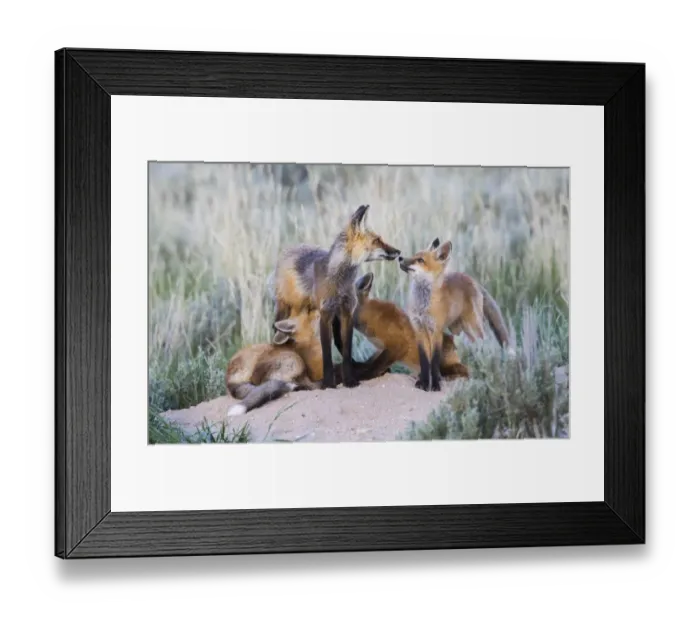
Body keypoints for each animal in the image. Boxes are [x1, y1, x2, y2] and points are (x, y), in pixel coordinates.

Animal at [272, 204, 401, 390]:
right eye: (377, 240)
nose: (398, 251)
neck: (340, 282)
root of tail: (291, 249)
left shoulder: (347, 312)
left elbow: (346, 351)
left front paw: (350, 380)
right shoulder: (325, 314)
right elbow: (326, 354)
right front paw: (328, 383)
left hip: (332, 317)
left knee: (339, 343)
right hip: (292, 308)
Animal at [399, 238, 513, 392]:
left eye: (420, 260)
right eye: (414, 255)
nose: (400, 258)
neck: (423, 305)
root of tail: (474, 281)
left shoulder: (436, 331)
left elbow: (434, 360)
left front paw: (435, 384)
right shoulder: (419, 329)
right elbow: (425, 360)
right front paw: (423, 383)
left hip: (474, 326)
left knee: (486, 345)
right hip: (460, 330)